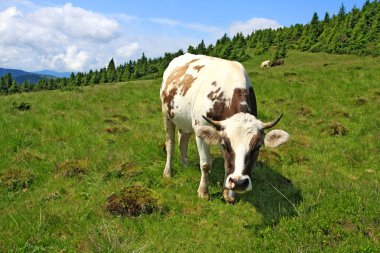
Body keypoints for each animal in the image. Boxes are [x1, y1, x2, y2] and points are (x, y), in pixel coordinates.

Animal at [159, 53, 290, 204]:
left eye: (257, 147)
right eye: (225, 145)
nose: (239, 183)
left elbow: (227, 166)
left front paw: (229, 194)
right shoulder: (201, 127)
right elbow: (205, 164)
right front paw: (203, 192)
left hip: (183, 119)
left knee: (183, 140)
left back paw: (185, 164)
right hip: (166, 114)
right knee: (170, 143)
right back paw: (167, 172)